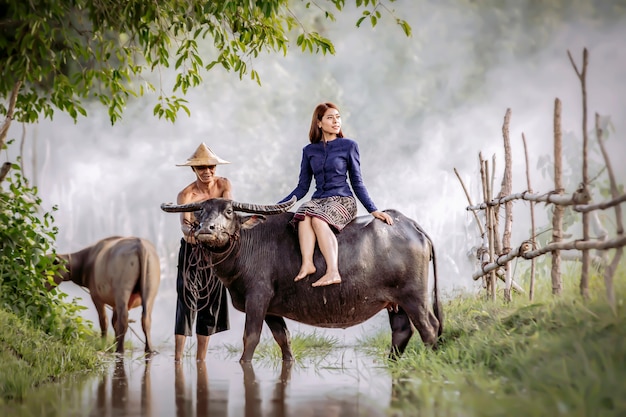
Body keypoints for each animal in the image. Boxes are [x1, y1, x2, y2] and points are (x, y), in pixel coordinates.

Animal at [163, 196, 442, 360]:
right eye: (201, 211)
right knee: (402, 331)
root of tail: (411, 225)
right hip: (395, 302)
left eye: (229, 211)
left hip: (414, 296)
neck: (247, 246)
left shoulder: (258, 299)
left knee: (429, 328)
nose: (206, 229)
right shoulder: (271, 309)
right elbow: (283, 340)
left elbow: (250, 339)